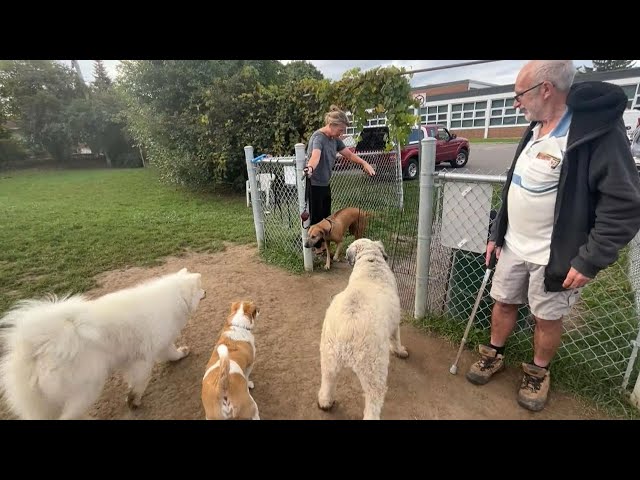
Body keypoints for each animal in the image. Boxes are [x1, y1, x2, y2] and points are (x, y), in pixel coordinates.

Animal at [0, 268, 206, 418]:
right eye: (200, 288)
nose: (206, 291)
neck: (175, 297)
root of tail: (41, 345)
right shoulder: (151, 352)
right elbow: (149, 373)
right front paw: (134, 399)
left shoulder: (132, 358)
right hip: (88, 387)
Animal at [316, 238, 410, 418]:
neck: (370, 262)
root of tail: (347, 327)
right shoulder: (395, 323)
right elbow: (396, 340)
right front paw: (400, 351)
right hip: (373, 367)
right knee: (374, 398)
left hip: (328, 357)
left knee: (327, 381)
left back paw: (325, 402)